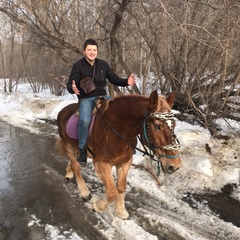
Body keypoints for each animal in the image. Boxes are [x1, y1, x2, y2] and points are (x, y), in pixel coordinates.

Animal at [55, 90, 181, 219]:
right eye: (157, 126)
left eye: (174, 125)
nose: (175, 166)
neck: (118, 129)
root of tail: (63, 111)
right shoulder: (101, 163)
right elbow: (112, 192)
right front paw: (97, 206)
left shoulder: (125, 161)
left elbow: (121, 187)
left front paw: (120, 211)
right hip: (69, 147)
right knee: (76, 167)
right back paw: (85, 193)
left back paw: (69, 174)